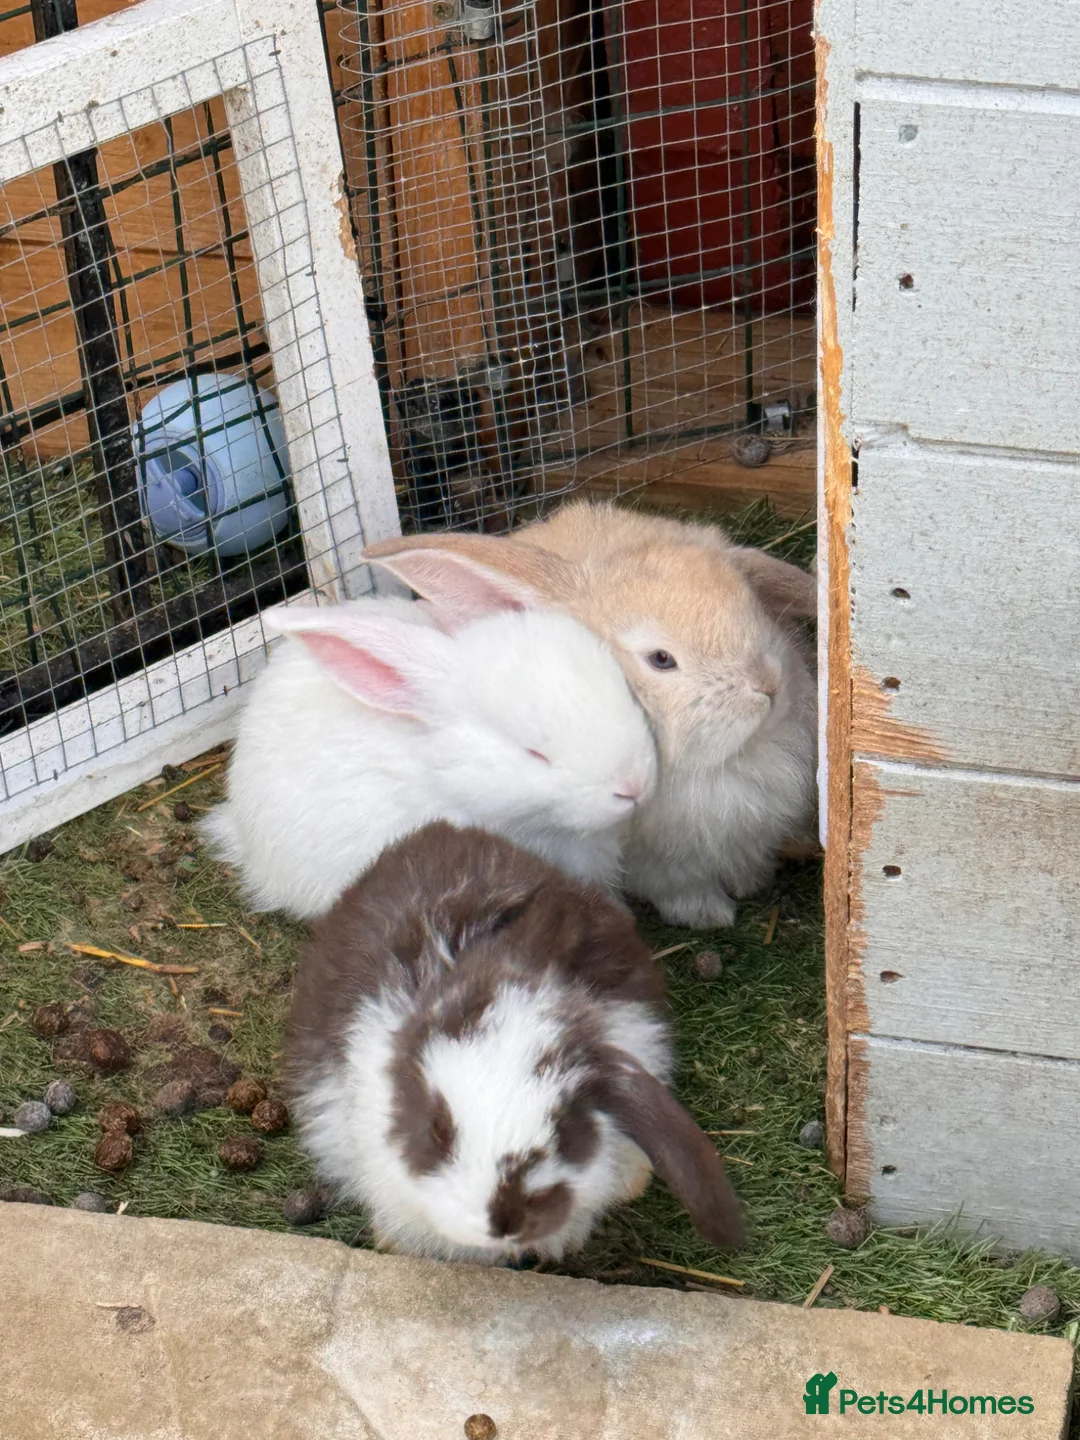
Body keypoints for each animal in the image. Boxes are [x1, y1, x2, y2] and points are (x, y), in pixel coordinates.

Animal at [362, 500, 817, 929]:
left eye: (752, 605)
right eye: (661, 659)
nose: (769, 684)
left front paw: (750, 882)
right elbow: (678, 886)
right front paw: (708, 915)